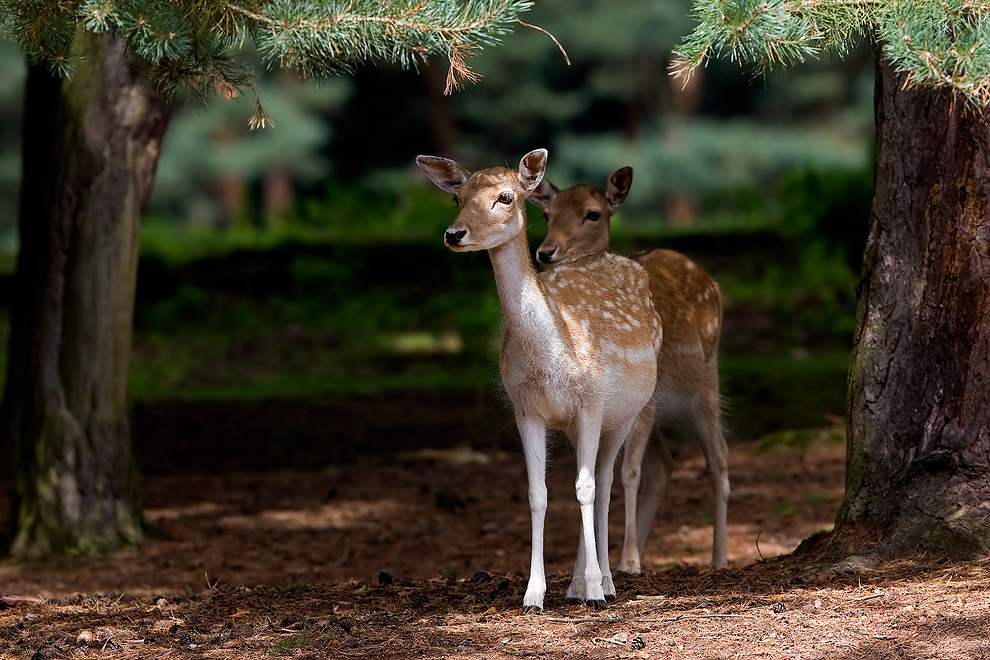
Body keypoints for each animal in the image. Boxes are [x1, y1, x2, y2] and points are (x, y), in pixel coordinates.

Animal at [414, 151, 664, 612]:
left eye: (505, 196)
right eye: (457, 197)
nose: (454, 233)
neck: (551, 356)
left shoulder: (591, 402)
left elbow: (585, 488)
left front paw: (596, 591)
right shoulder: (526, 408)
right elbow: (538, 493)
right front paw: (534, 594)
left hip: (628, 413)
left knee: (604, 484)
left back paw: (605, 583)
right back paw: (576, 586)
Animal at [532, 168, 732, 576]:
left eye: (592, 214)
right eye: (547, 215)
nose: (546, 252)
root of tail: (713, 282)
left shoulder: (646, 401)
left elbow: (628, 473)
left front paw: (628, 561)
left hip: (704, 382)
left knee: (718, 458)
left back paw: (718, 557)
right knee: (665, 464)